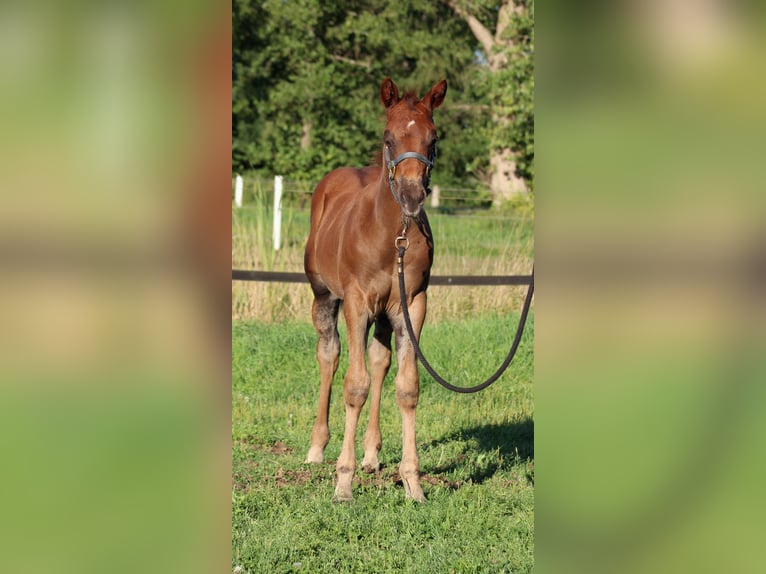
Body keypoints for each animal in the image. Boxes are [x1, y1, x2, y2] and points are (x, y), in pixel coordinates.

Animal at [303, 77, 447, 502]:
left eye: (433, 138)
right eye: (388, 138)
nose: (412, 196)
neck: (390, 234)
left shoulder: (412, 305)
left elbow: (407, 387)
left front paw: (413, 482)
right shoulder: (356, 302)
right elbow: (355, 385)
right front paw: (343, 482)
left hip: (385, 314)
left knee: (379, 360)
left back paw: (371, 455)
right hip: (323, 296)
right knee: (329, 355)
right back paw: (316, 448)